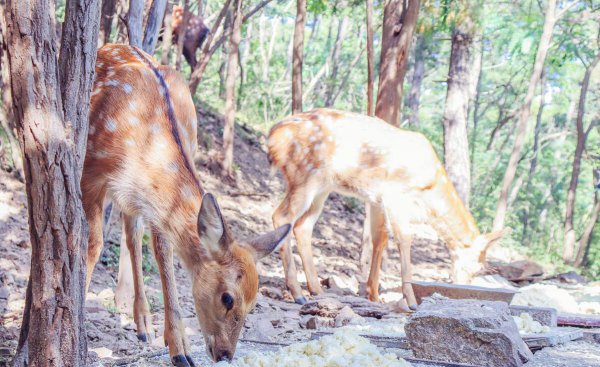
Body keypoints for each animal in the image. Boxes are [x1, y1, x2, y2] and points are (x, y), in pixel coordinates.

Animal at [84, 44, 290, 366]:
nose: (225, 354)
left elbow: (162, 250)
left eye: (254, 302)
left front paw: (180, 349)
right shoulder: (90, 169)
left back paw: (144, 325)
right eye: (228, 298)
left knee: (136, 237)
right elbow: (92, 245)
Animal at [270, 108, 508, 310]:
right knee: (281, 216)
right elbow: (404, 238)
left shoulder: (376, 199)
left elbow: (380, 238)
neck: (429, 192)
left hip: (322, 188)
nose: (463, 285)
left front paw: (374, 295)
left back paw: (316, 289)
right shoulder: (395, 194)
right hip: (305, 175)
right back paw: (297, 292)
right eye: (477, 267)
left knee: (303, 226)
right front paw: (410, 301)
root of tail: (273, 137)